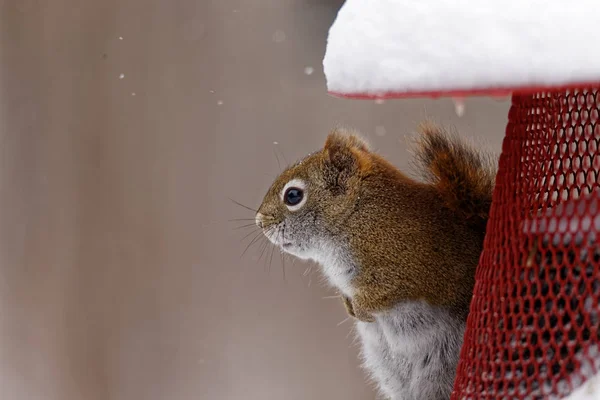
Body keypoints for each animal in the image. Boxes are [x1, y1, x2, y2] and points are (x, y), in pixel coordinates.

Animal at [255, 123, 494, 398]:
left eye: (293, 195)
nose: (259, 222)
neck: (357, 216)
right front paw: (349, 305)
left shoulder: (405, 269)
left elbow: (381, 295)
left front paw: (360, 309)